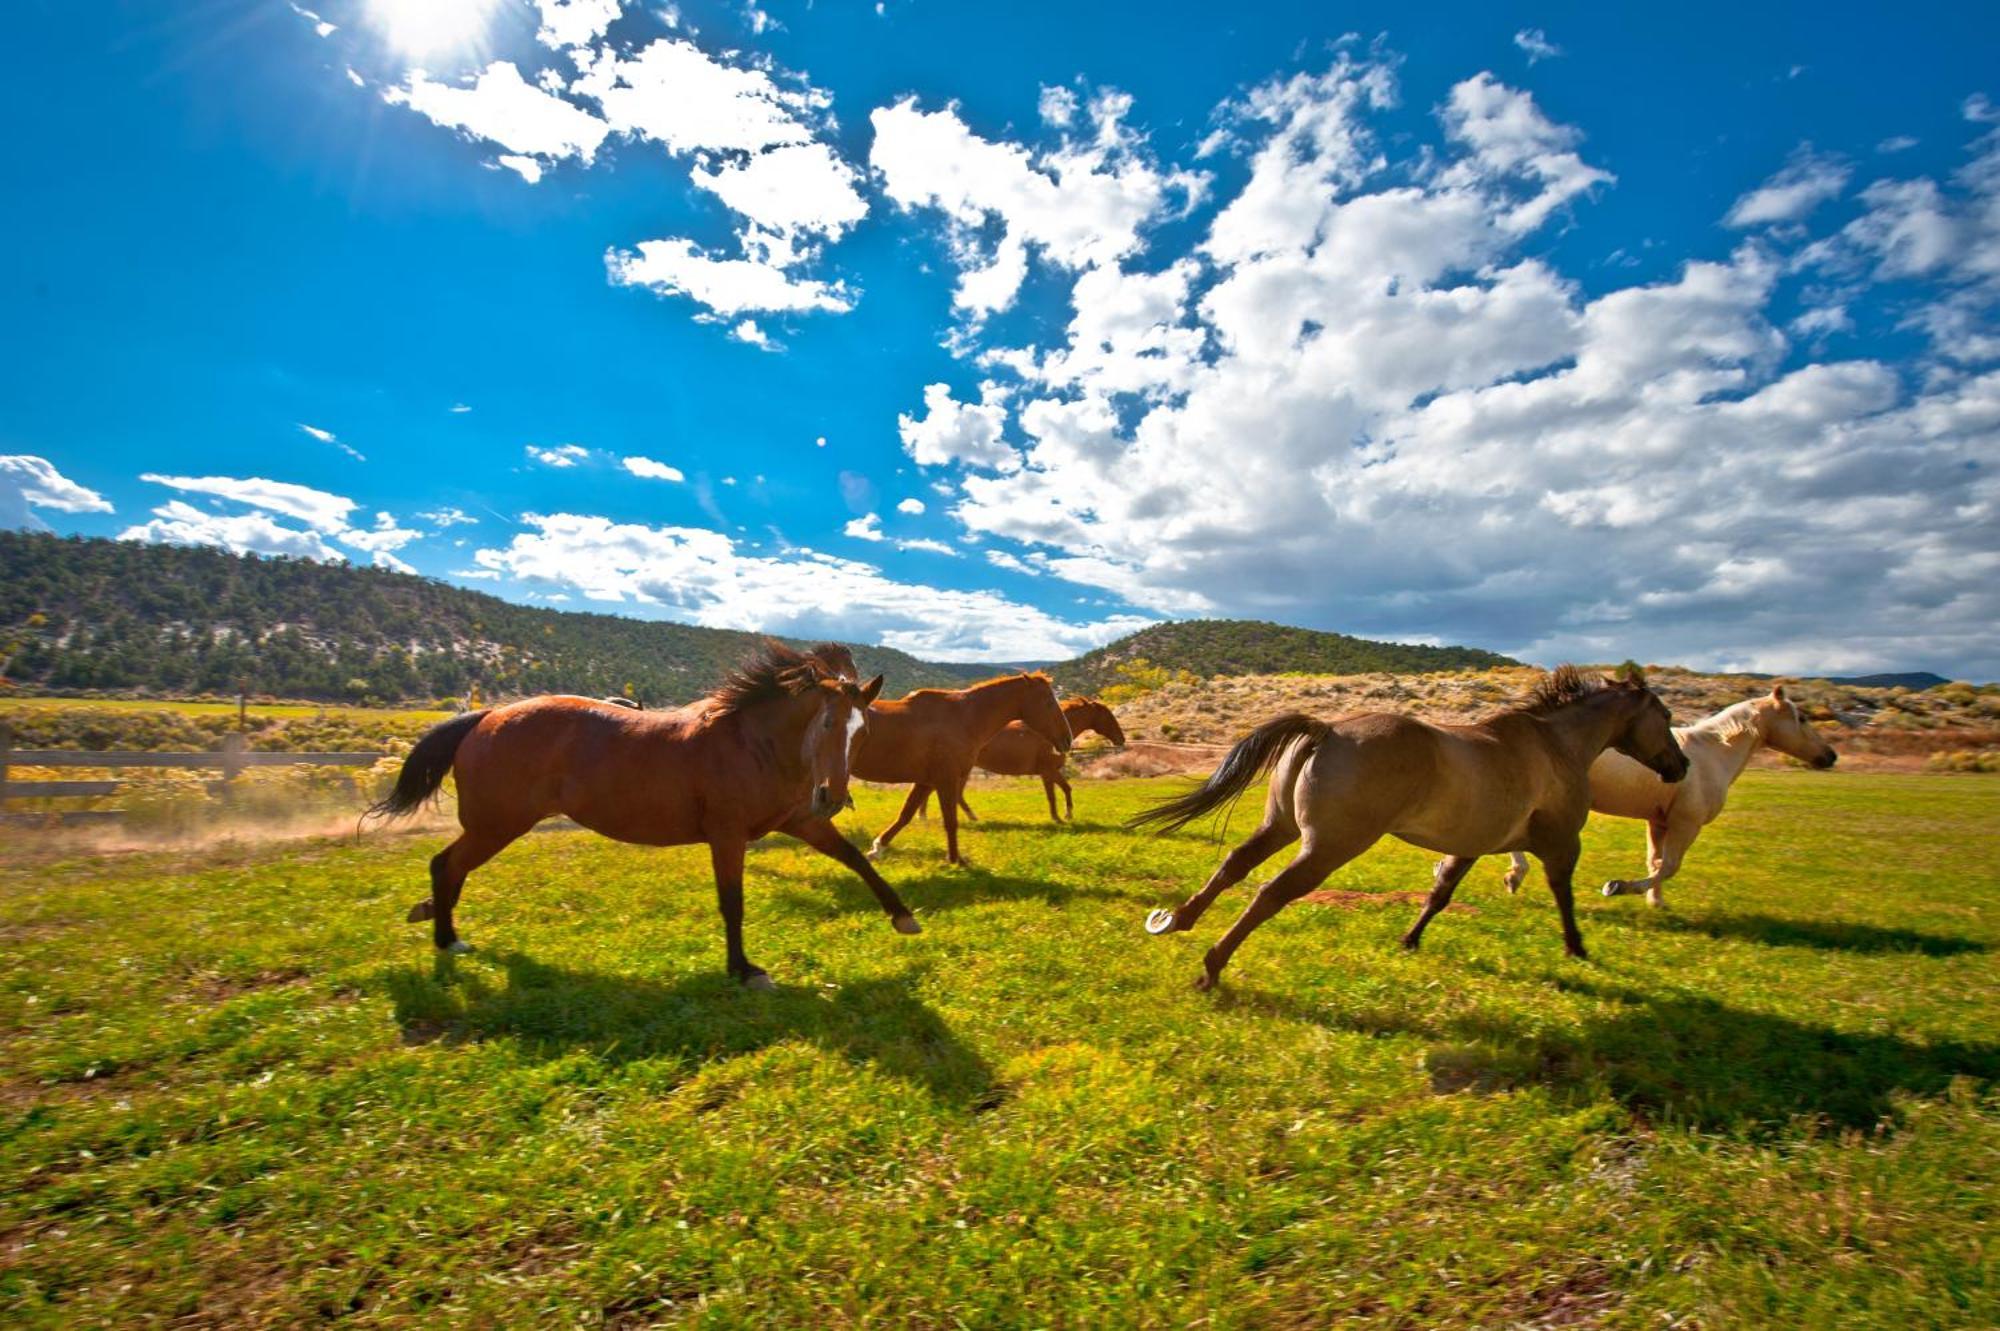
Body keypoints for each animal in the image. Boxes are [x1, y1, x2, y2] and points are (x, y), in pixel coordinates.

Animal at [364, 643, 916, 983]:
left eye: (863, 730)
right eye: (825, 723)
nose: (831, 796)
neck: (751, 744)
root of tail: (485, 717)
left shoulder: (799, 821)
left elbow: (855, 858)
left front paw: (903, 916)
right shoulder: (728, 834)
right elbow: (732, 903)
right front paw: (743, 970)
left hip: (495, 825)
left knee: (449, 868)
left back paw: (438, 923)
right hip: (498, 824)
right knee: (446, 865)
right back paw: (447, 940)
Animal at [860, 667, 1080, 867]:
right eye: (1049, 702)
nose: (1067, 740)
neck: (961, 718)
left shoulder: (927, 781)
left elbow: (906, 814)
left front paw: (877, 849)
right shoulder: (946, 780)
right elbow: (950, 821)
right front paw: (956, 860)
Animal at [920, 695, 1128, 819]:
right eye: (1108, 716)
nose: (1121, 739)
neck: (1050, 737)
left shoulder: (1051, 772)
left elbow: (1066, 789)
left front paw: (1065, 815)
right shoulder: (1047, 771)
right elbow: (1053, 795)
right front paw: (1059, 817)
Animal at [1136, 663, 1680, 983]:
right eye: (1667, 716)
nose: (1681, 766)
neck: (1554, 746)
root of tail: (1327, 729)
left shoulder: (1471, 844)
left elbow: (1439, 894)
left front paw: (1409, 941)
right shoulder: (1563, 842)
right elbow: (1563, 895)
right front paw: (1577, 948)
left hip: (1282, 827)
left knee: (1236, 864)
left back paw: (1177, 921)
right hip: (1331, 845)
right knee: (1272, 890)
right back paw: (1212, 966)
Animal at [1496, 679, 1832, 907]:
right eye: (1802, 718)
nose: (1829, 756)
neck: (1712, 754)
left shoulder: (1659, 822)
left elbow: (1655, 862)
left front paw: (1655, 902)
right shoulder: (1687, 823)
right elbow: (1669, 866)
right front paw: (1617, 887)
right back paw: (1515, 875)